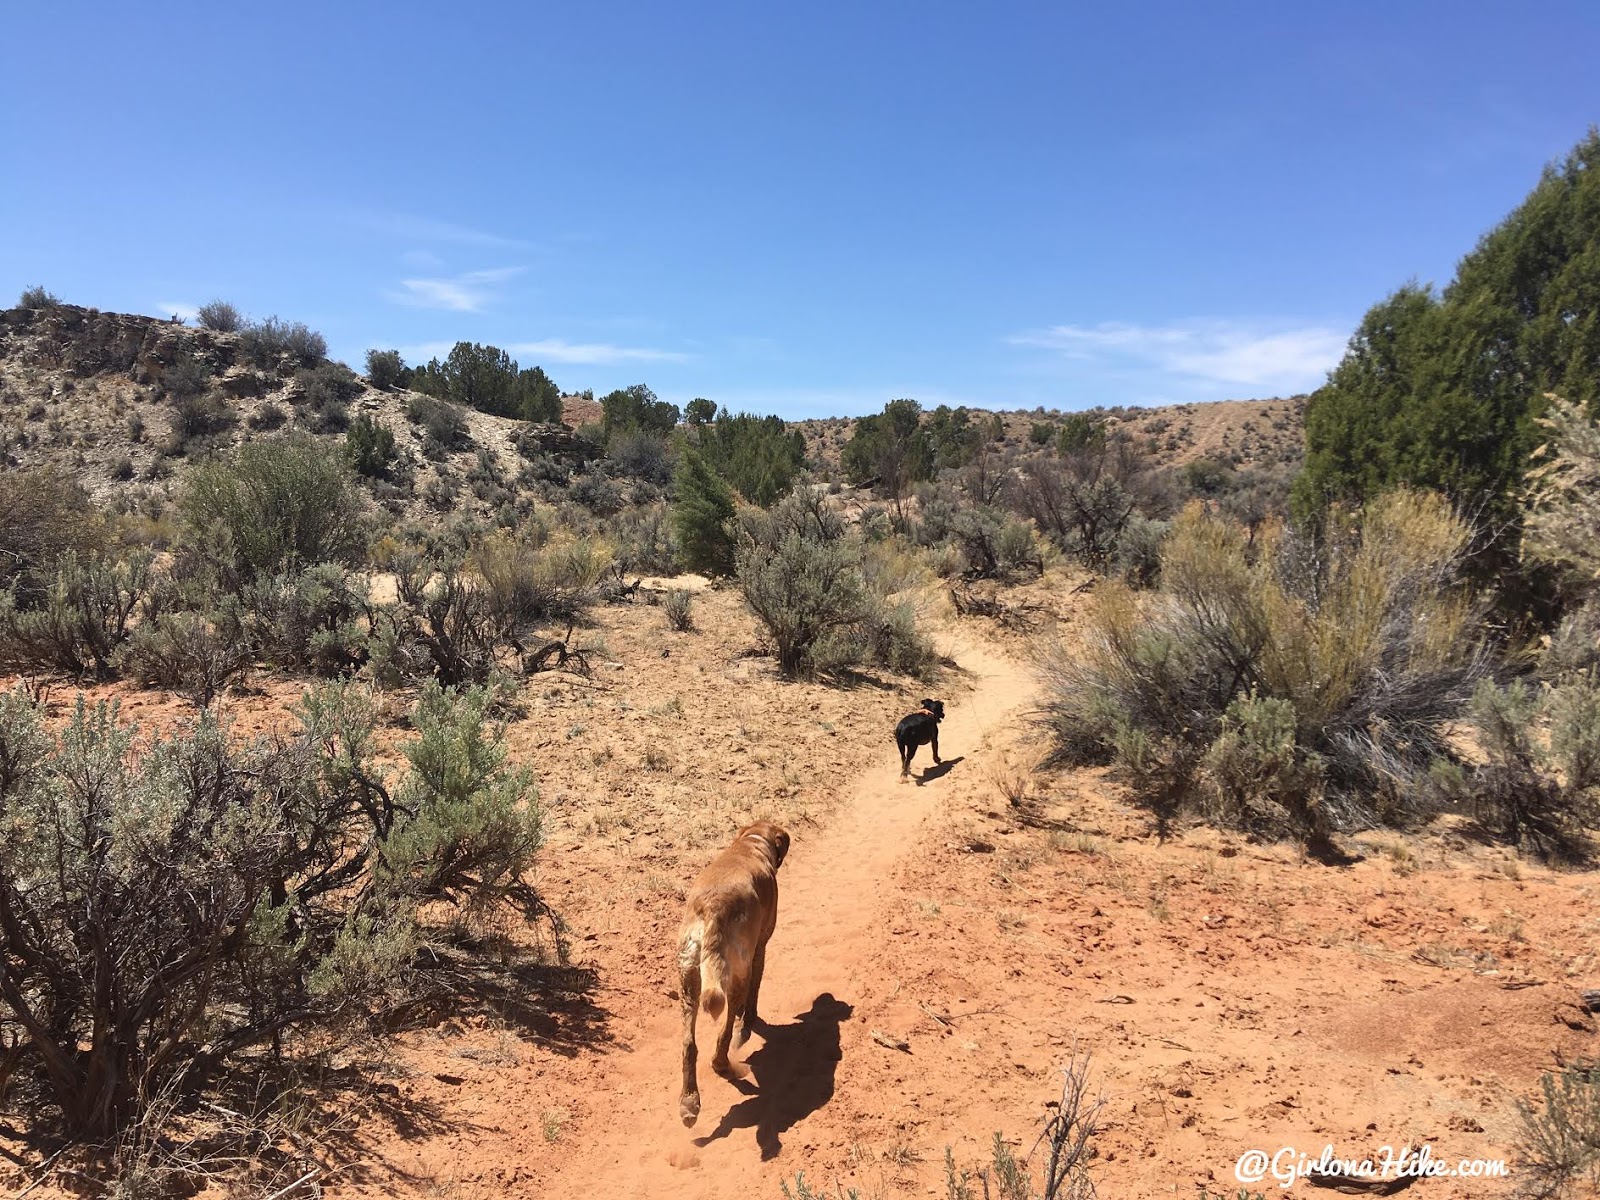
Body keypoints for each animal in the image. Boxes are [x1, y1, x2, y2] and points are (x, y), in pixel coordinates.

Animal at [672, 825, 790, 1132]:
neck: (751, 843)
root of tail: (712, 909)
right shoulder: (759, 949)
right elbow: (754, 995)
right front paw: (749, 1022)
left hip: (689, 980)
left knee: (689, 1045)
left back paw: (689, 1104)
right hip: (735, 973)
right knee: (725, 1029)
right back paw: (723, 1063)